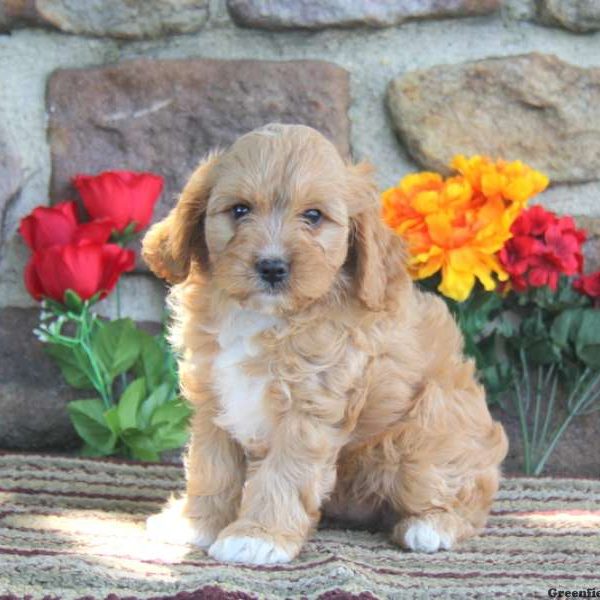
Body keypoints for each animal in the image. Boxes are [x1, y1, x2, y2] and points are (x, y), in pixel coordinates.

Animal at [143, 122, 508, 564]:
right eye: (240, 210)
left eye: (313, 216)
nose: (272, 266)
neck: (267, 317)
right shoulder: (215, 397)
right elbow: (210, 467)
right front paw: (196, 524)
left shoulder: (310, 406)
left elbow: (284, 474)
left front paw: (258, 536)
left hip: (426, 430)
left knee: (465, 499)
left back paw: (431, 526)